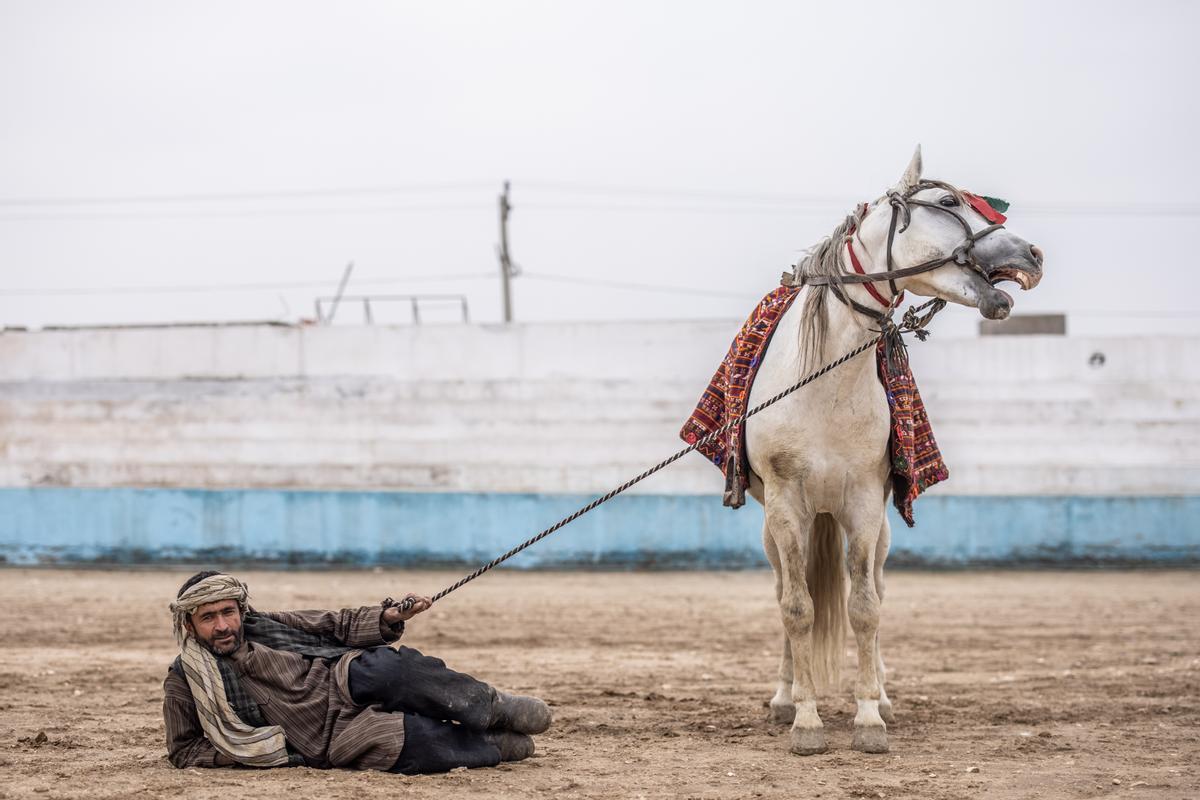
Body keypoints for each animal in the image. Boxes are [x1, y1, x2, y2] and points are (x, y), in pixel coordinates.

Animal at [748, 149, 1041, 758]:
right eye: (949, 201)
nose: (1032, 254)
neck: (824, 382)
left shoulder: (864, 503)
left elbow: (865, 608)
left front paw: (867, 718)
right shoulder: (786, 507)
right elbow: (797, 607)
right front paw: (805, 721)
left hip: (877, 528)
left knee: (875, 591)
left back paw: (880, 695)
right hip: (776, 529)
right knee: (787, 592)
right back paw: (785, 695)